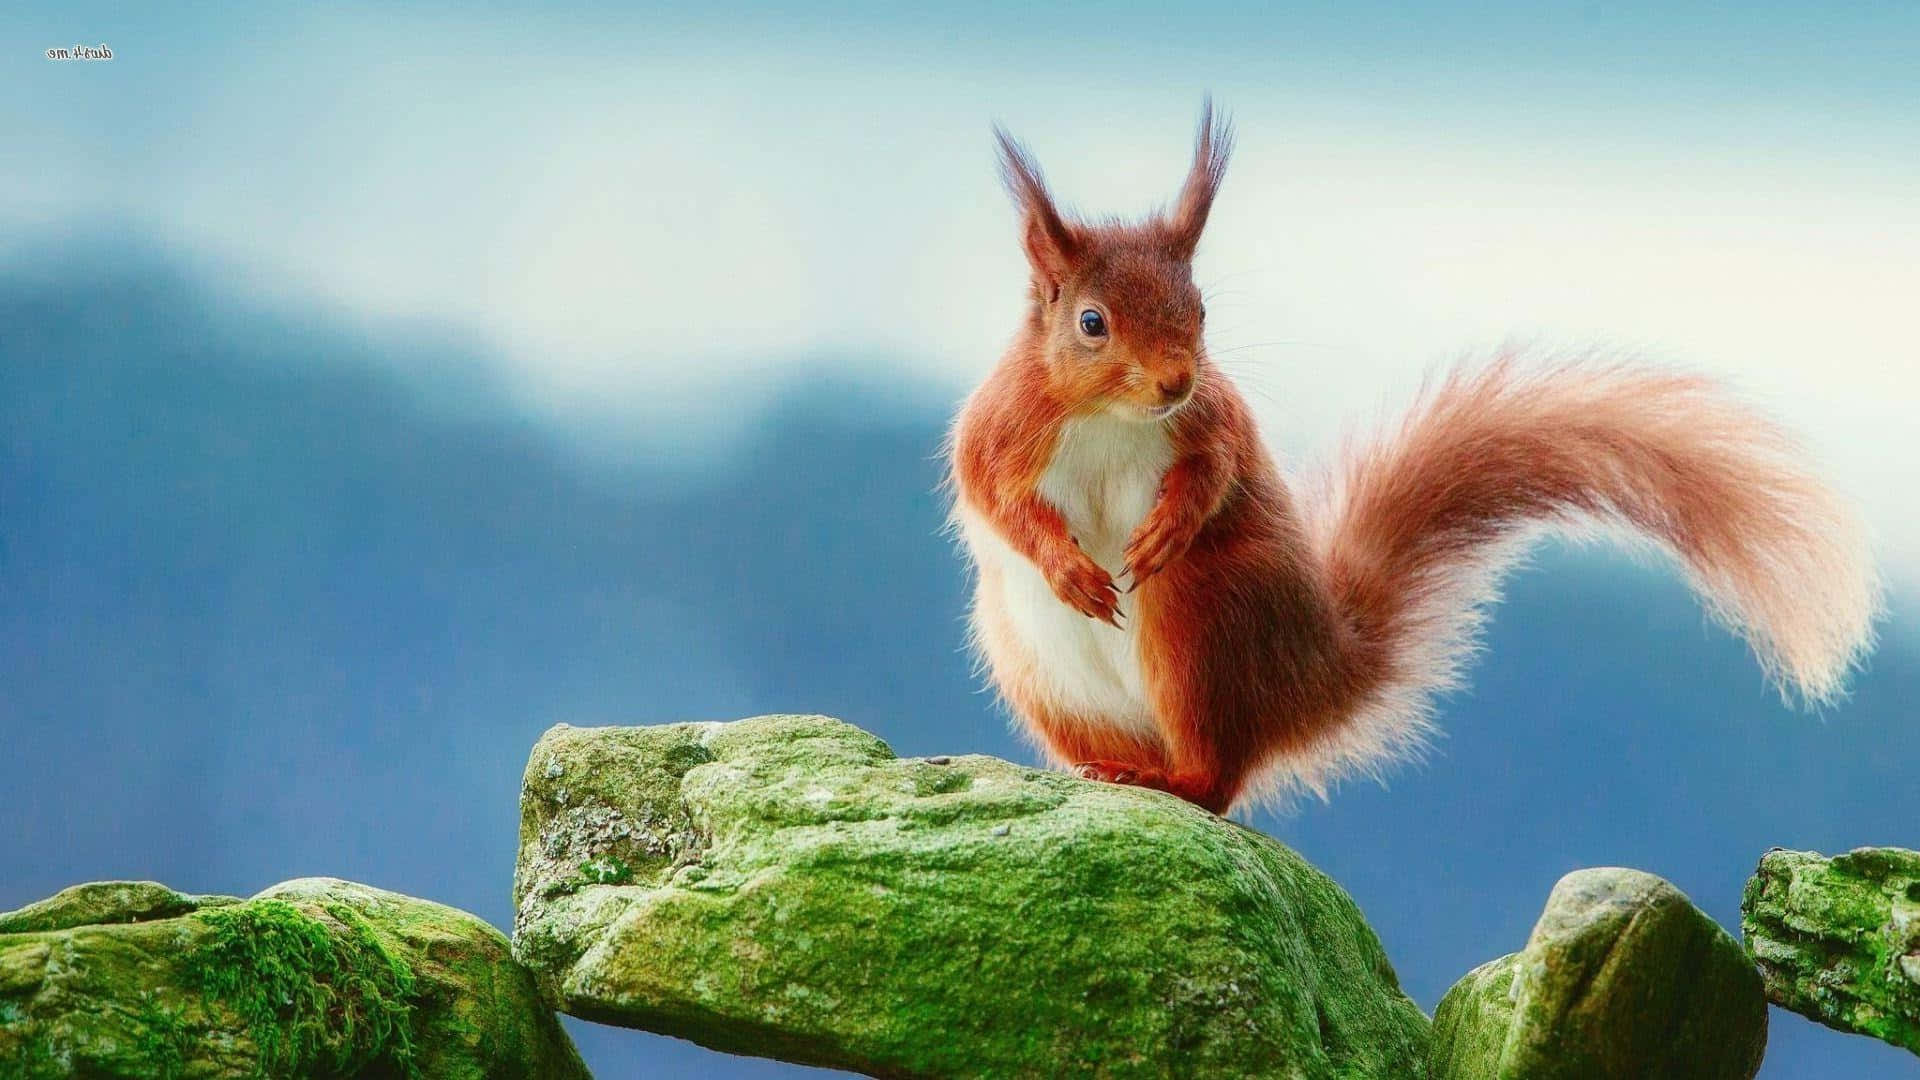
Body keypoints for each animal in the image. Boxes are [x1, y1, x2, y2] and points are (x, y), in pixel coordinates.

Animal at [947, 100, 1884, 815]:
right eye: (1092, 322)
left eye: (1200, 309)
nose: (1176, 380)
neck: (1111, 416)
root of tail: (1315, 674)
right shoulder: (1002, 429)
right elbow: (993, 497)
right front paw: (1068, 567)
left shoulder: (1216, 422)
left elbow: (1214, 476)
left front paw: (1165, 527)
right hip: (1035, 667)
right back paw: (1111, 769)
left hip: (1201, 622)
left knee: (1219, 779)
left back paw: (1170, 777)